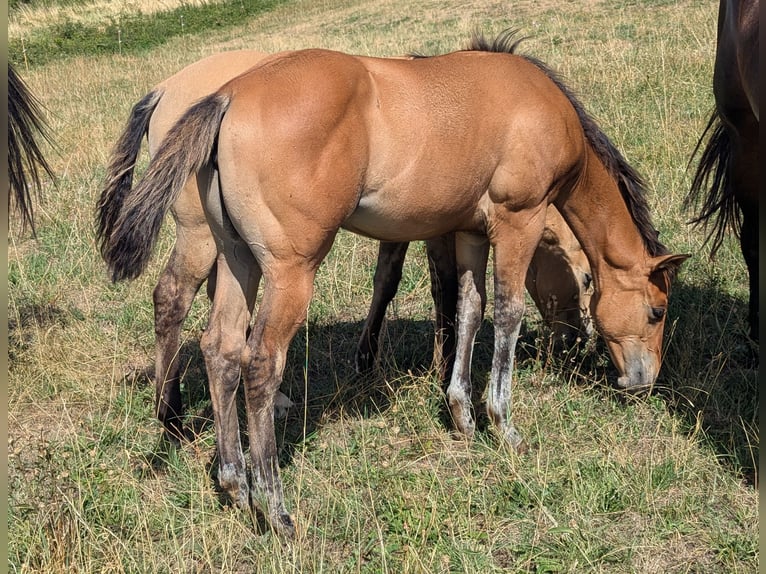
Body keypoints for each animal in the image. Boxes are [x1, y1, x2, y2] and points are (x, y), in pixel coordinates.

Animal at [97, 49, 593, 442]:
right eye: (588, 279)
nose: (574, 347)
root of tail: (168, 90)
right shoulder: (458, 228)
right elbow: (447, 293)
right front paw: (448, 377)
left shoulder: (427, 228)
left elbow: (413, 287)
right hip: (209, 238)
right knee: (174, 298)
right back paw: (175, 417)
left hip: (233, 249)